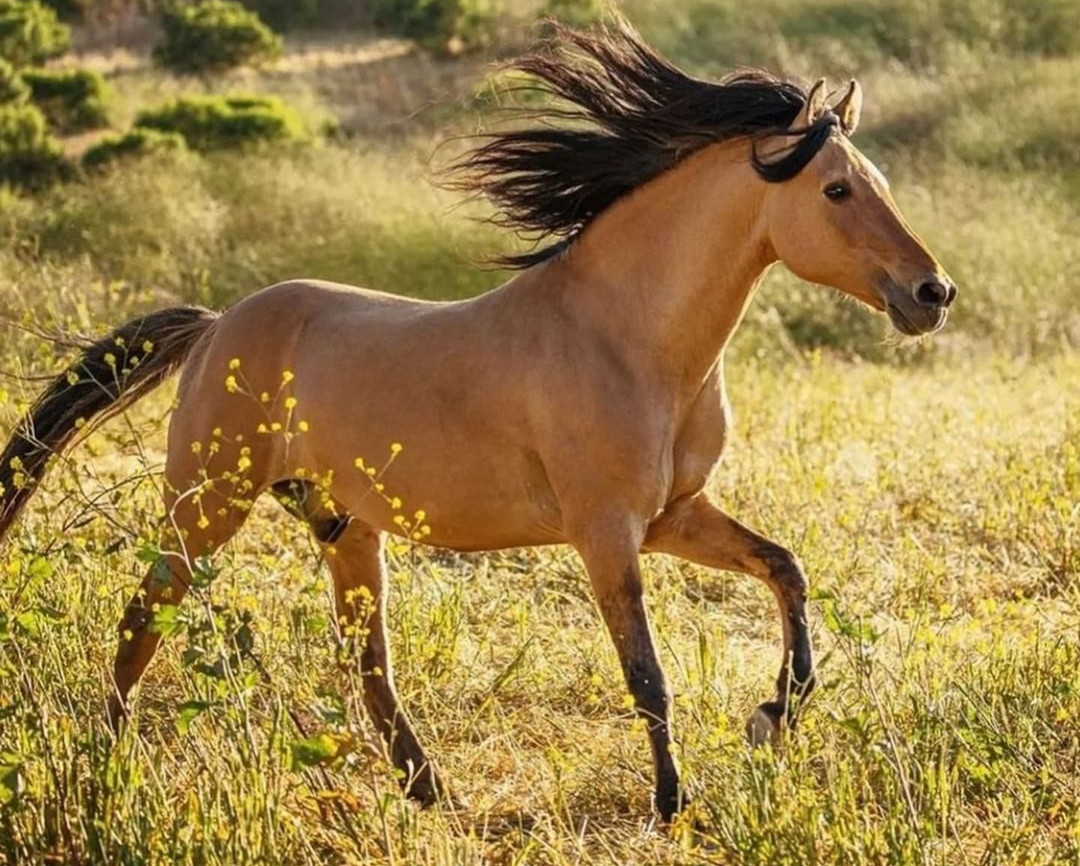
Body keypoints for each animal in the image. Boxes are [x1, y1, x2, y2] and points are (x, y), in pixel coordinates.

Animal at [0, 20, 954, 816]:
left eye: (877, 183)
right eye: (837, 191)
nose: (931, 293)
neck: (624, 335)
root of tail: (215, 328)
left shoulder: (673, 517)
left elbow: (786, 570)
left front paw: (770, 717)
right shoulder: (606, 533)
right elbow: (648, 674)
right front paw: (672, 801)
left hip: (344, 527)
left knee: (367, 664)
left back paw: (429, 791)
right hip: (207, 509)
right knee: (144, 616)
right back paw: (107, 765)